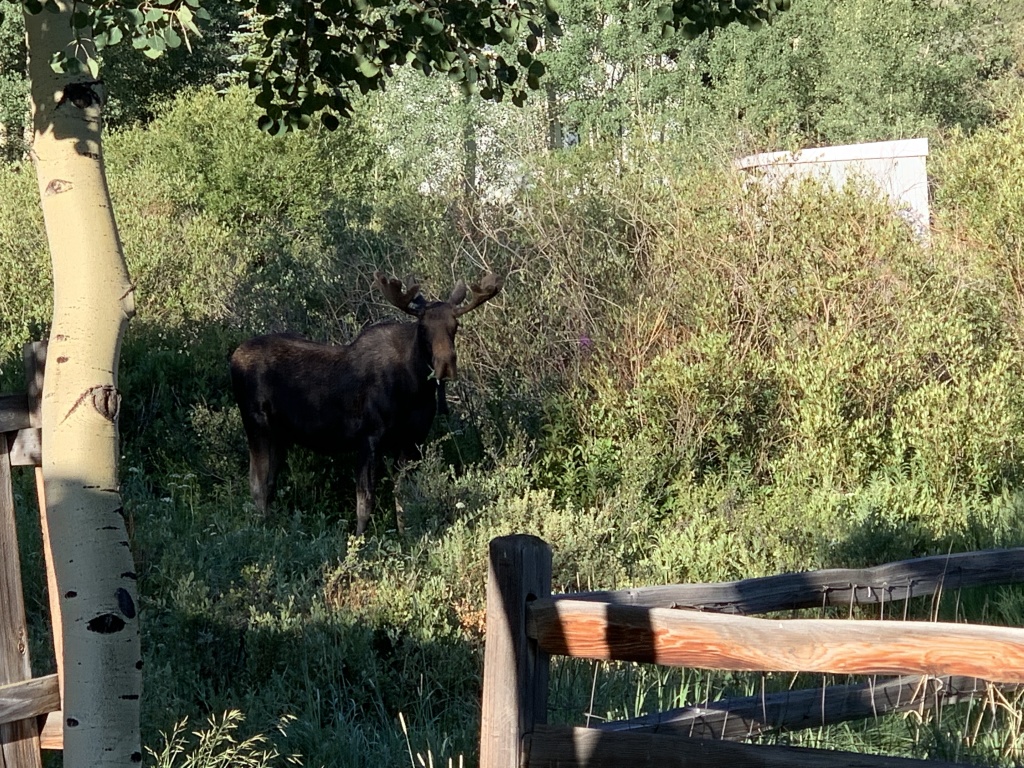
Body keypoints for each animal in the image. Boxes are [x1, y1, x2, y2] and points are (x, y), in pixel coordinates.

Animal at [229, 271, 503, 535]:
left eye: (455, 325)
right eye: (422, 327)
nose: (445, 364)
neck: (414, 388)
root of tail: (233, 358)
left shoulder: (411, 441)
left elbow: (403, 498)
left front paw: (406, 537)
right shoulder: (369, 437)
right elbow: (365, 502)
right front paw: (361, 542)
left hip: (280, 435)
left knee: (269, 483)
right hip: (257, 425)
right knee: (257, 484)